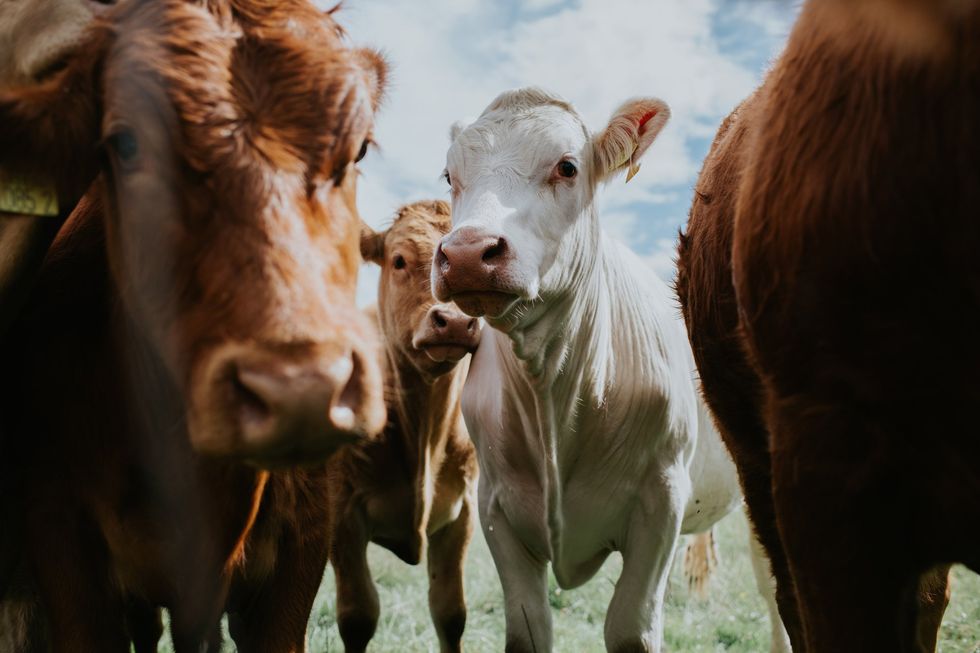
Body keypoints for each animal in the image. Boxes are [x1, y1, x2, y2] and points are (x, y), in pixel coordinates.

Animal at [328, 199, 479, 653]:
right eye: (399, 260)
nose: (454, 321)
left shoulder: (462, 512)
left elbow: (450, 612)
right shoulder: (341, 512)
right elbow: (358, 616)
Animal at [431, 87, 788, 653]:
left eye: (567, 166)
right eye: (450, 176)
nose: (466, 252)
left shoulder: (661, 501)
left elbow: (629, 627)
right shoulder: (496, 509)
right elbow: (528, 628)